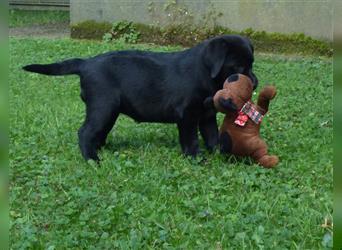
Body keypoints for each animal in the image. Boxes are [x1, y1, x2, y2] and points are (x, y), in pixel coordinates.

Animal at [22, 34, 258, 161]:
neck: (205, 73)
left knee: (97, 133)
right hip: (103, 107)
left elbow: (212, 136)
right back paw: (92, 159)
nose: (255, 82)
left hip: (108, 112)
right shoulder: (187, 115)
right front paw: (196, 158)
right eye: (237, 68)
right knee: (85, 132)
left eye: (252, 64)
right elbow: (190, 139)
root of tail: (86, 63)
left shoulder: (206, 115)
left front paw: (219, 154)